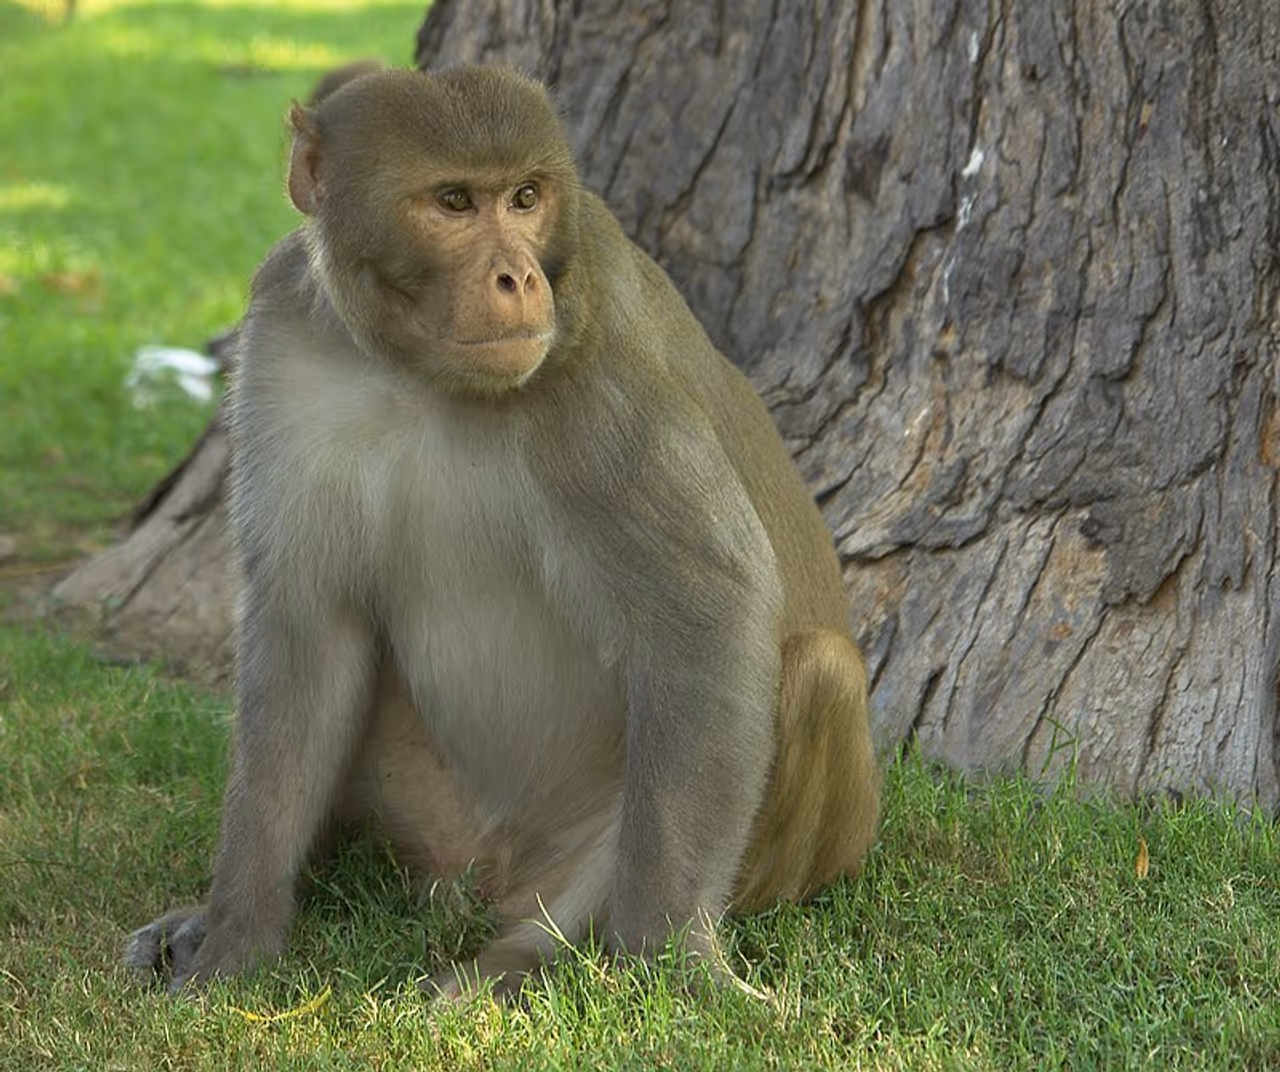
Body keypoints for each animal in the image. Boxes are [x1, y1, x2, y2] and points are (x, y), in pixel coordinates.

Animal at [124, 65, 881, 1000]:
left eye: (524, 197)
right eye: (454, 201)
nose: (518, 277)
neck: (418, 374)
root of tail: (485, 878)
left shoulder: (593, 367)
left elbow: (708, 616)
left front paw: (674, 965)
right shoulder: (285, 344)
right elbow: (309, 627)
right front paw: (233, 939)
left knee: (818, 669)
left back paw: (513, 964)